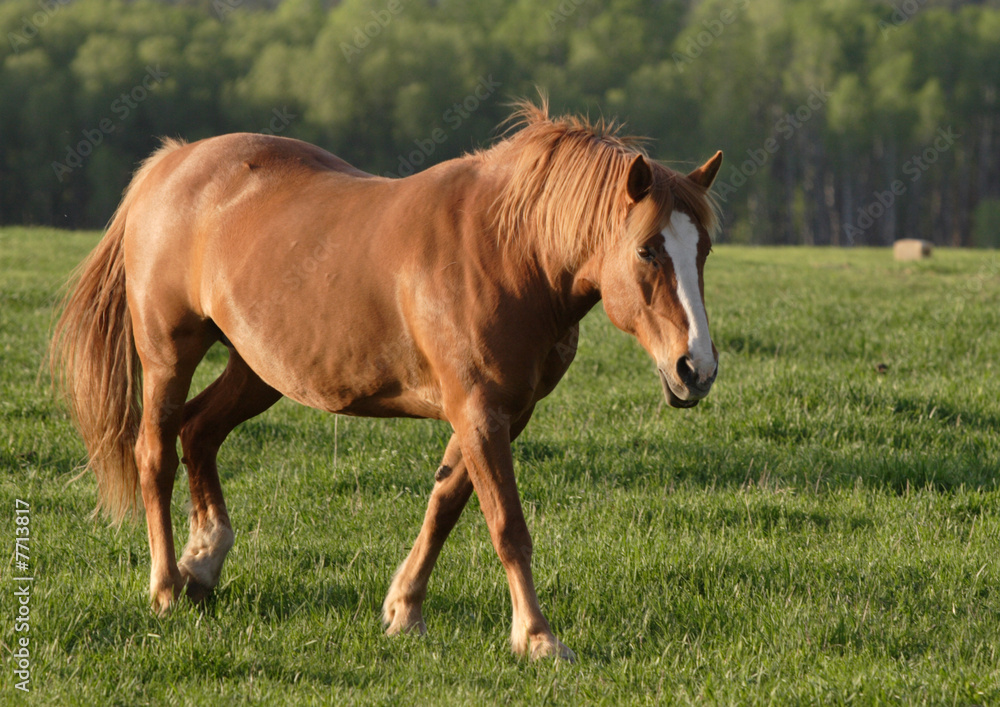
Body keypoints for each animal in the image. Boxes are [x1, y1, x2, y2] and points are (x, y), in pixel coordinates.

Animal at [50, 101, 722, 661]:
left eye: (704, 250)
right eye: (647, 250)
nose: (697, 368)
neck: (509, 252)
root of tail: (171, 162)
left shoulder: (499, 412)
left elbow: (446, 504)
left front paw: (405, 610)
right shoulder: (478, 409)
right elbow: (507, 527)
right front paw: (537, 637)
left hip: (258, 368)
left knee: (199, 432)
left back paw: (204, 563)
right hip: (168, 355)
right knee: (156, 453)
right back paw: (165, 586)